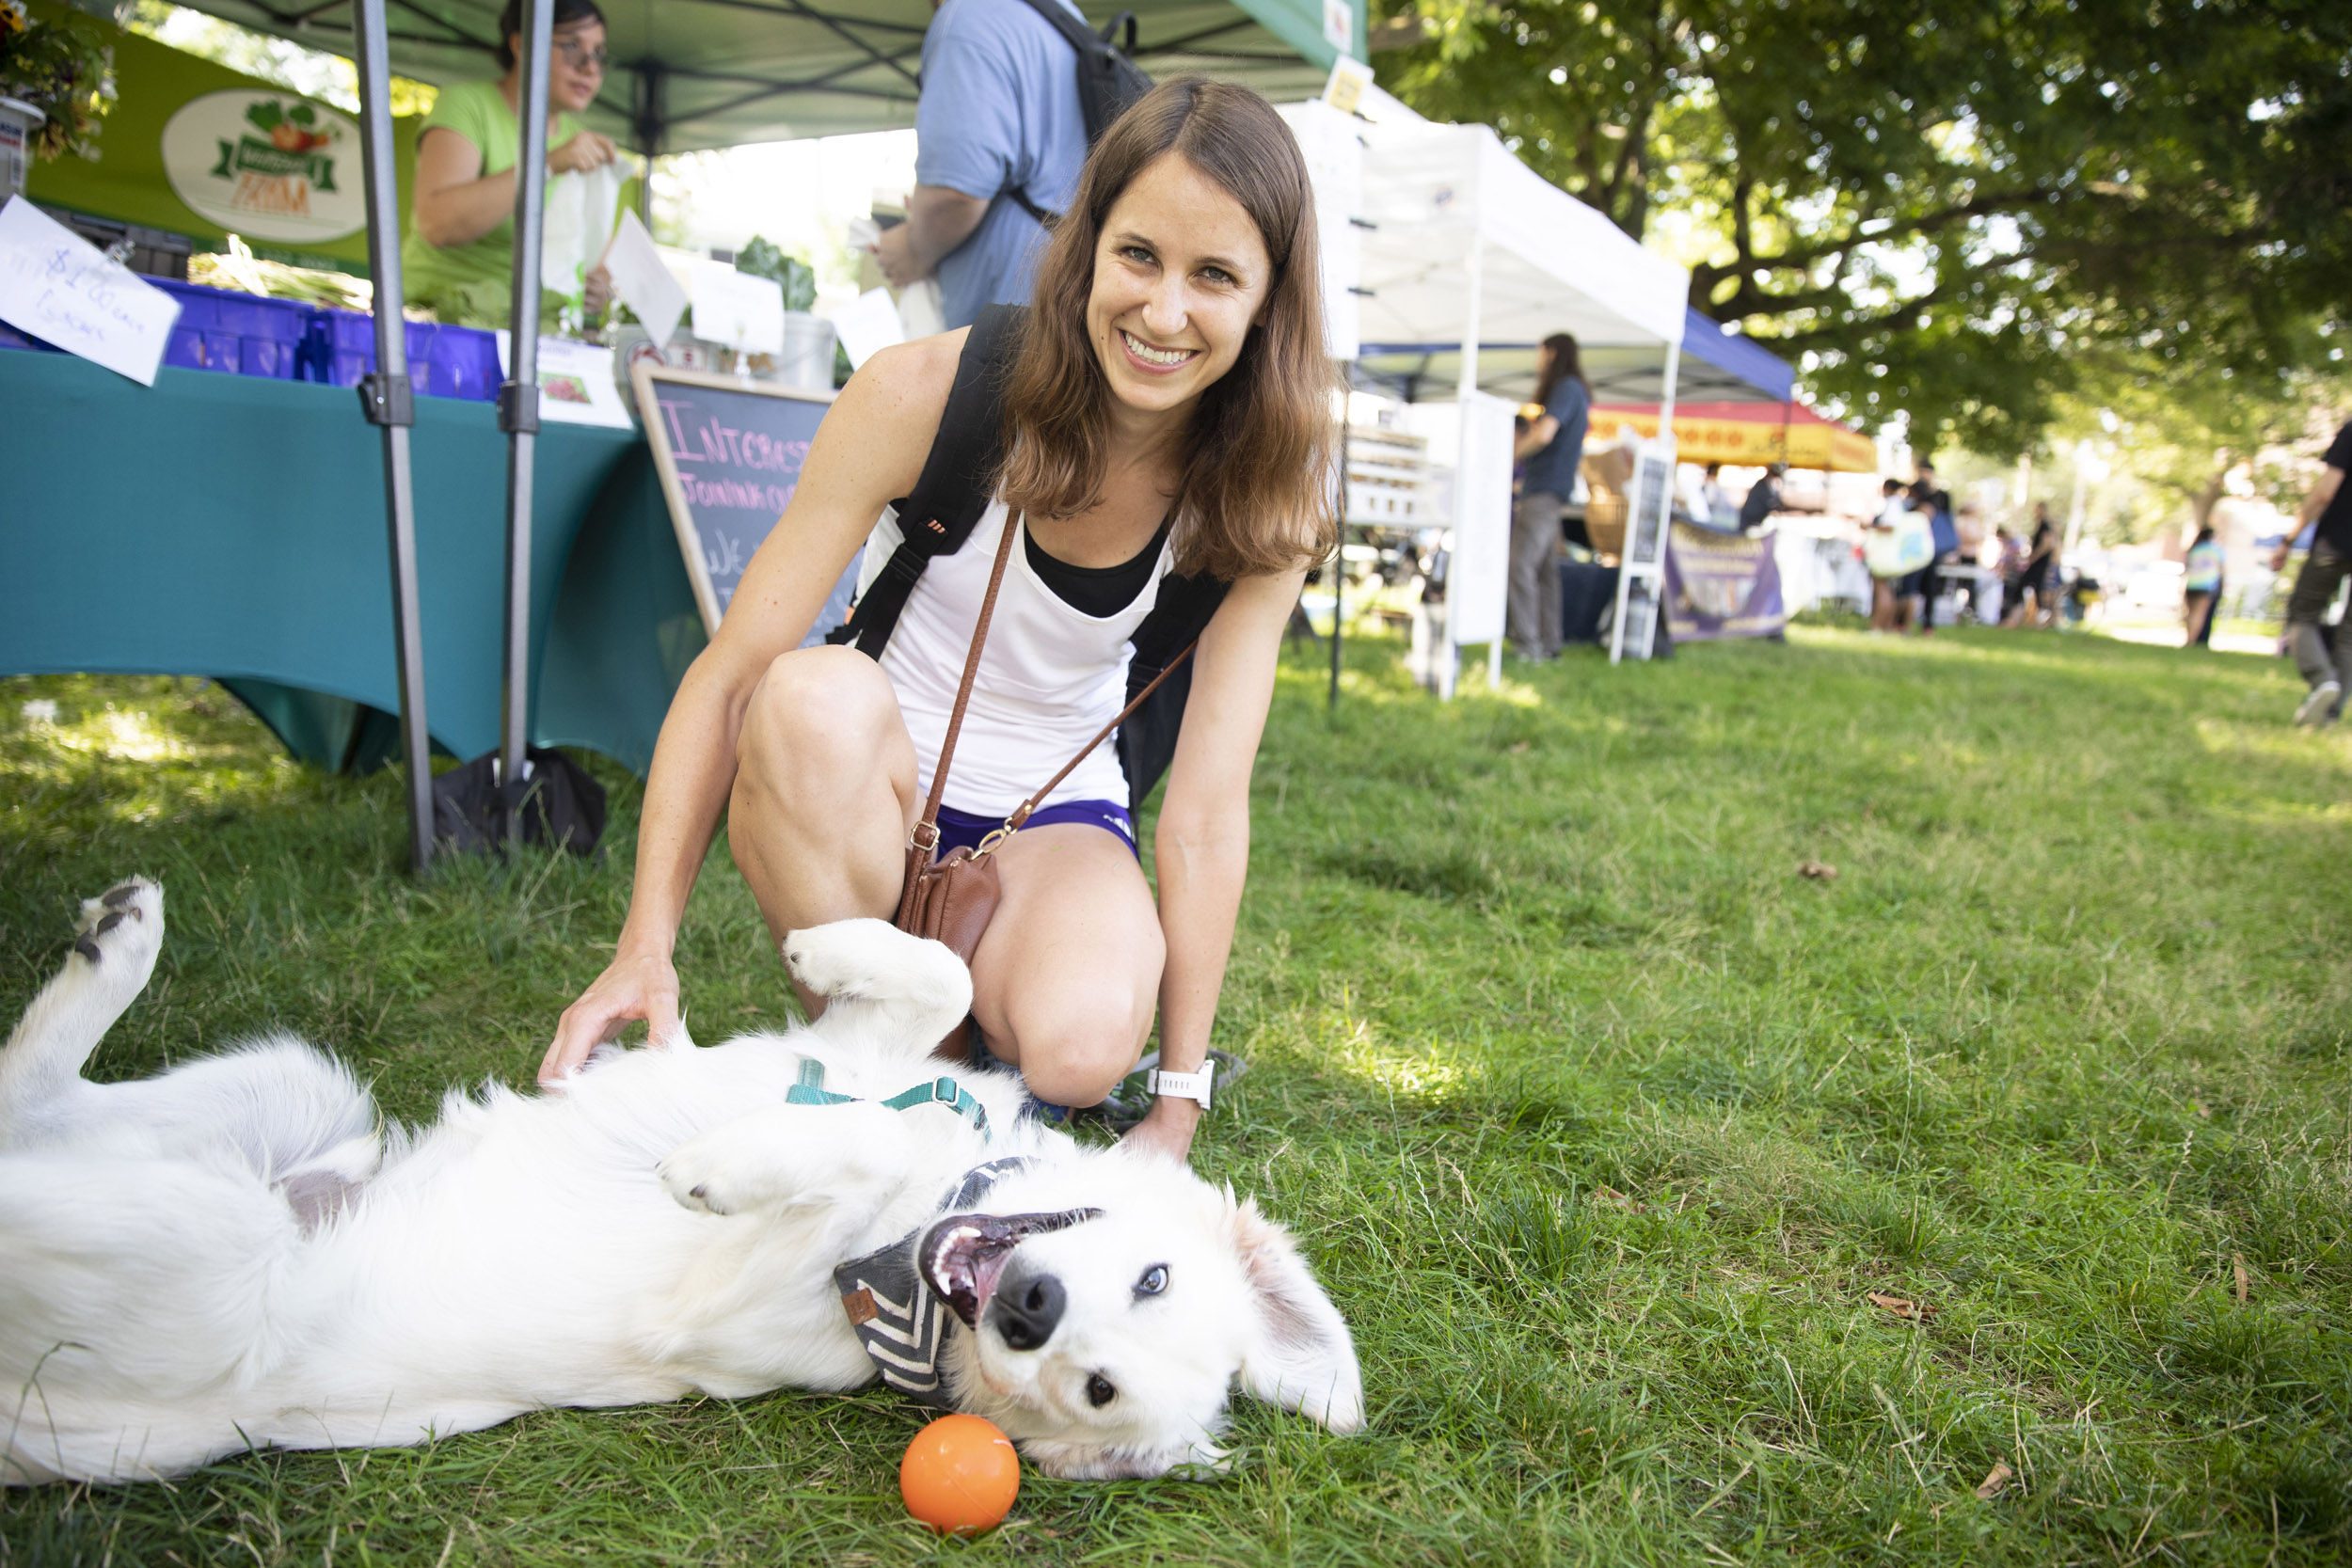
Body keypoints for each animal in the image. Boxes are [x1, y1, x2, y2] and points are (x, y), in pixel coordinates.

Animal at [0, 879, 1364, 1495]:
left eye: (1098, 1390)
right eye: (1151, 1272)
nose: (1031, 1309)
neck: (927, 1229)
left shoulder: (719, 1297)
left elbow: (841, 1145)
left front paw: (719, 1163)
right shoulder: (866, 1054)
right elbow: (942, 974)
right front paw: (825, 941)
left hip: (203, 1240)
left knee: (19, 1143)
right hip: (300, 1092)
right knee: (36, 1089)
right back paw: (114, 942)